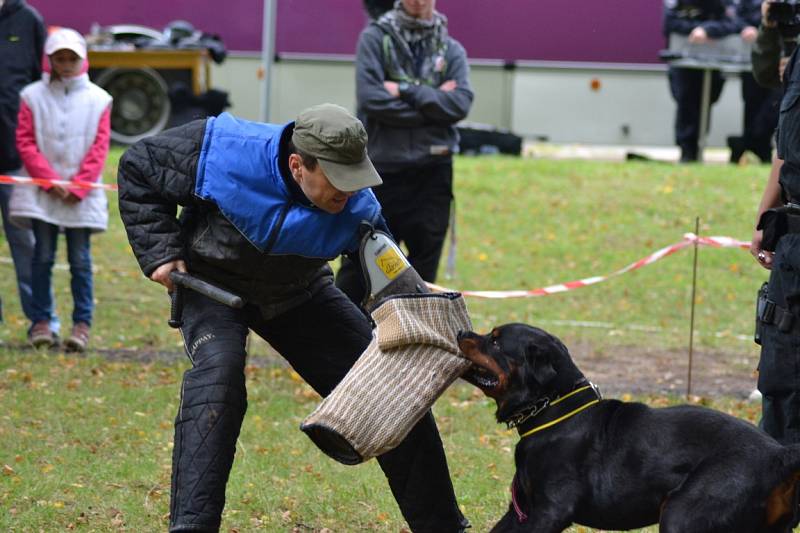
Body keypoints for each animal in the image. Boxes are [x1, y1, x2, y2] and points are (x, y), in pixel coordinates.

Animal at [460, 322, 800, 532]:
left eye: (495, 340)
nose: (463, 331)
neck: (552, 411)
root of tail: (778, 454)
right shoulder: (521, 511)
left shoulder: (550, 511)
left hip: (684, 512)